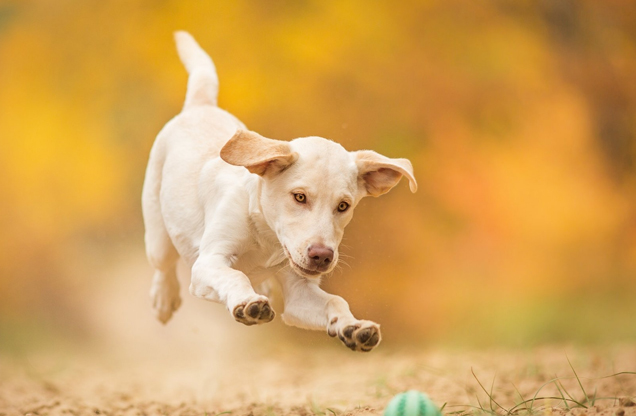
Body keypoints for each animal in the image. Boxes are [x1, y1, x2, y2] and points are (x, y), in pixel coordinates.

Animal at [142, 30, 418, 352]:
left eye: (343, 206)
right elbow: (234, 275)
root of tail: (201, 105)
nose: (322, 256)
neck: (267, 239)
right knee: (163, 265)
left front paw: (353, 327)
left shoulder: (299, 291)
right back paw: (164, 299)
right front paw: (247, 302)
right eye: (299, 197)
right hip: (158, 236)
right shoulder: (208, 263)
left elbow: (335, 301)